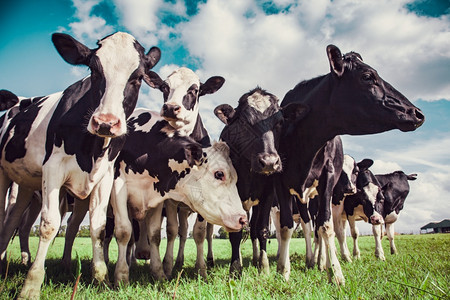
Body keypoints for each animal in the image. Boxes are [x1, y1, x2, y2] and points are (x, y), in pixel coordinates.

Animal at [0, 30, 161, 298]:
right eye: (94, 70)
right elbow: (49, 225)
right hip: (4, 174)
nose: (106, 122)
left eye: (138, 77)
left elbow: (98, 228)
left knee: (13, 220)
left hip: (26, 185)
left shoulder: (105, 176)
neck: (91, 149)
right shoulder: (53, 169)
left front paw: (100, 278)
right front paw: (31, 285)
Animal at [110, 108, 248, 286]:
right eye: (219, 174)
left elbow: (156, 234)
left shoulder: (158, 198)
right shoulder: (118, 186)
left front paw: (161, 272)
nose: (243, 219)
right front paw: (121, 276)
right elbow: (124, 232)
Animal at [214, 87, 306, 276]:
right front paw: (236, 268)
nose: (269, 162)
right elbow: (235, 233)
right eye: (244, 122)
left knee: (254, 228)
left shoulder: (267, 194)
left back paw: (256, 259)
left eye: (280, 122)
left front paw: (264, 266)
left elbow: (261, 229)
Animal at [274, 44, 426, 284]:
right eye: (367, 76)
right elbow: (287, 227)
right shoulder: (280, 181)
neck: (304, 141)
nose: (417, 113)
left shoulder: (327, 181)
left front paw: (335, 272)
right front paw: (283, 270)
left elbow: (327, 227)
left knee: (322, 228)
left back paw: (322, 261)